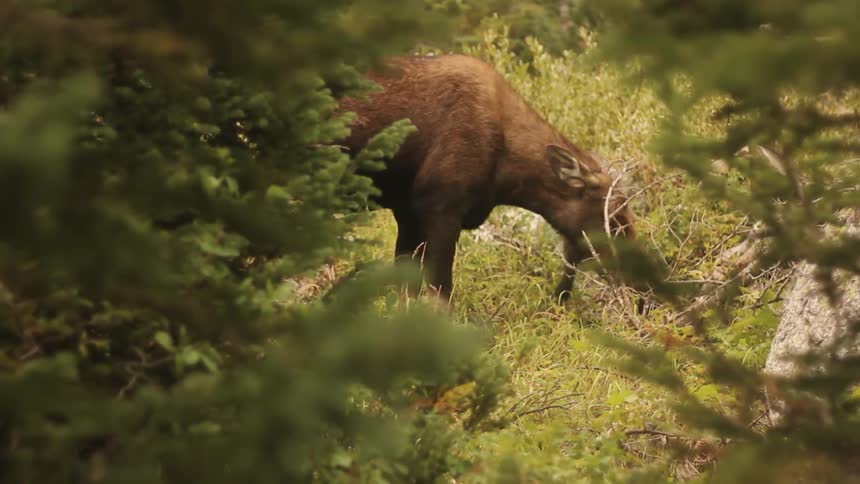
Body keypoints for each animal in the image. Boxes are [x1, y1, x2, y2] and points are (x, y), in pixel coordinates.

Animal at [337, 54, 635, 302]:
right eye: (613, 220)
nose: (640, 285)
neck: (505, 177)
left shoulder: (408, 213)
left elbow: (406, 292)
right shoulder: (440, 207)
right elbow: (440, 294)